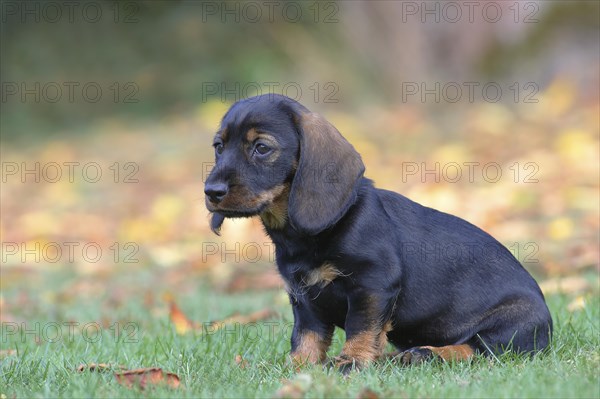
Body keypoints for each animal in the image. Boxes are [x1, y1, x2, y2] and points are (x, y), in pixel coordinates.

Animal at [205, 94, 552, 372]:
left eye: (262, 148)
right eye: (218, 147)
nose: (211, 192)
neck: (299, 237)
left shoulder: (372, 284)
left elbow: (362, 327)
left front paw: (351, 361)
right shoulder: (303, 297)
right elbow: (306, 336)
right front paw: (297, 365)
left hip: (511, 322)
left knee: (479, 349)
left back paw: (427, 354)